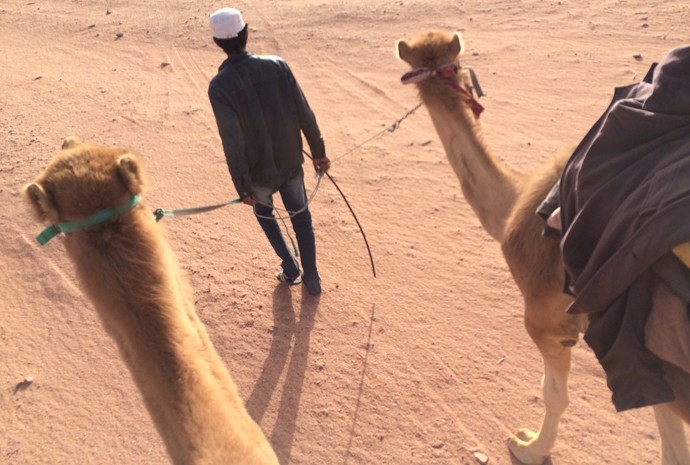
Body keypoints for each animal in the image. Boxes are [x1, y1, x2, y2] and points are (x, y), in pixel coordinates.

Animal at [396, 31, 688, 464]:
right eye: (424, 64)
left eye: (451, 64)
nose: (441, 81)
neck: (513, 204)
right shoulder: (647, 360)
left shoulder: (549, 323)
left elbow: (553, 395)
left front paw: (528, 446)